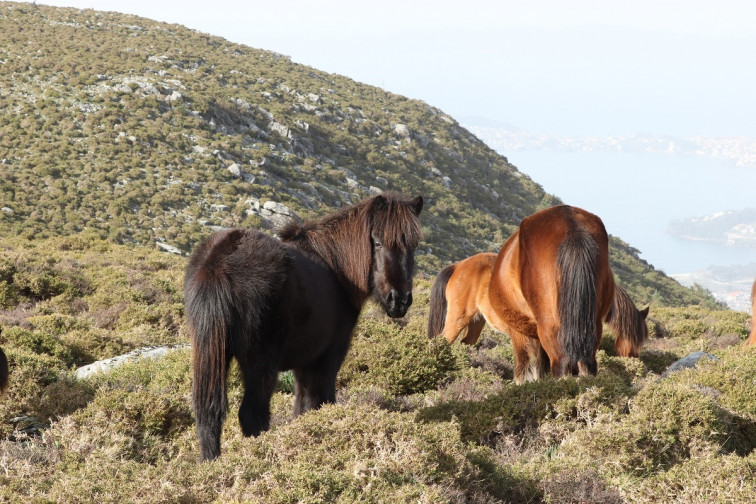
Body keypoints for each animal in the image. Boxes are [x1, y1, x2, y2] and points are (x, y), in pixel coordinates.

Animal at [182, 193, 420, 460]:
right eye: (377, 242)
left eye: (413, 245)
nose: (399, 300)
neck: (336, 267)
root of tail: (219, 263)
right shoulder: (327, 358)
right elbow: (320, 402)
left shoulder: (304, 365)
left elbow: (302, 408)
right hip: (260, 363)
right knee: (252, 415)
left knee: (208, 415)